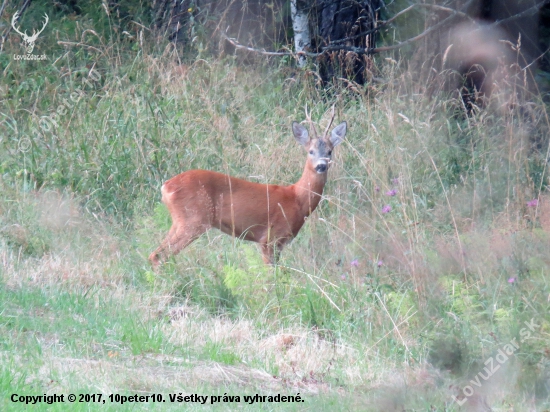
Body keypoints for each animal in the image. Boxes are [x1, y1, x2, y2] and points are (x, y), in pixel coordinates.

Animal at [149, 115, 348, 268]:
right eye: (311, 151)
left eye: (329, 151)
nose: (321, 166)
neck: (296, 198)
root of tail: (166, 186)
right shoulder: (270, 238)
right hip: (193, 220)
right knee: (159, 255)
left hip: (180, 221)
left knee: (156, 254)